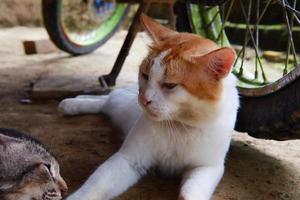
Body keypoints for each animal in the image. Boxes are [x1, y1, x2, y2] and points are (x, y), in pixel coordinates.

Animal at [59, 14, 239, 200]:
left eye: (170, 85)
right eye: (145, 75)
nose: (144, 99)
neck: (179, 126)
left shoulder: (207, 168)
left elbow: (192, 191)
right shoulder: (129, 160)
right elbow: (97, 185)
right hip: (121, 103)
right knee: (107, 99)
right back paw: (72, 103)